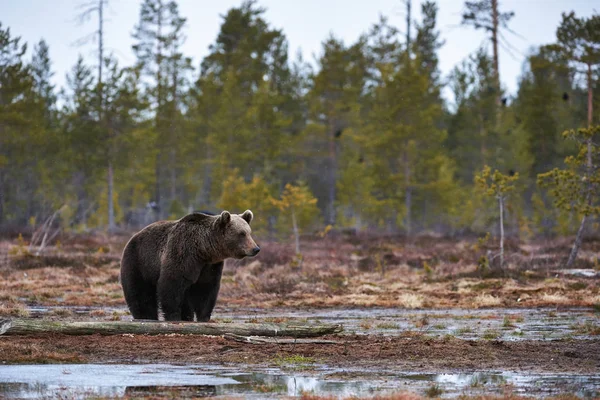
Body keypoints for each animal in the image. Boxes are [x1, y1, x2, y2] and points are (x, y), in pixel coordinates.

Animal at [120, 211, 258, 320]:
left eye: (249, 232)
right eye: (241, 233)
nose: (256, 248)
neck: (203, 250)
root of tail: (134, 236)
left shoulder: (209, 267)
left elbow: (205, 290)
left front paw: (204, 317)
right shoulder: (182, 254)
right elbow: (171, 285)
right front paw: (174, 316)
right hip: (139, 261)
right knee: (140, 292)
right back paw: (146, 316)